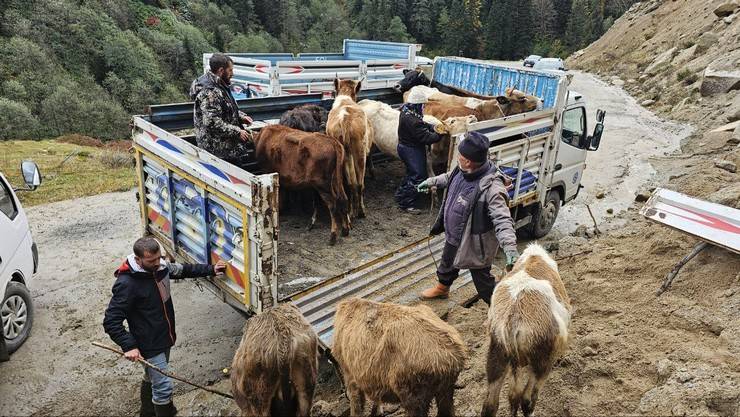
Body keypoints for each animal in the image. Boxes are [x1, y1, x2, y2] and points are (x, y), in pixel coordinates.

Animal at [328, 79, 376, 219]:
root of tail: (345, 119)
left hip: (345, 154)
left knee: (350, 184)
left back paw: (350, 211)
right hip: (359, 152)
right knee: (359, 183)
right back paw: (360, 211)